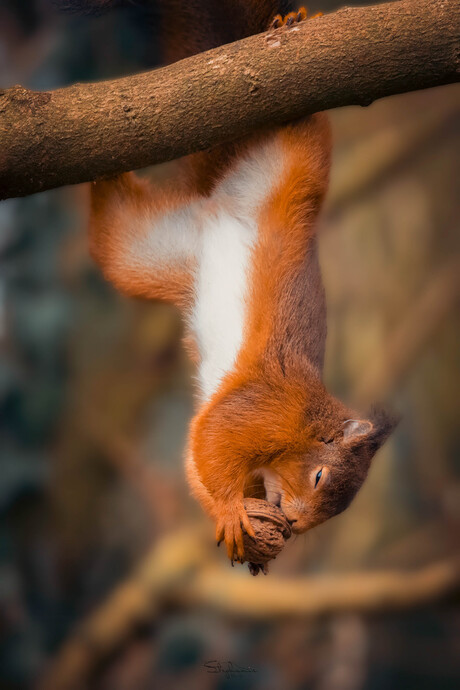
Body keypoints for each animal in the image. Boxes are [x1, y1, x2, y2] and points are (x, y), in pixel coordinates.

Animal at [65, 0, 398, 562]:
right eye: (319, 476)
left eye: (336, 510)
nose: (295, 522)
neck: (306, 422)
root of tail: (219, 203)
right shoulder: (265, 409)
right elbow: (215, 440)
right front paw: (228, 509)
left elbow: (197, 456)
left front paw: (237, 522)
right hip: (296, 165)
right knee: (302, 128)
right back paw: (290, 26)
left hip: (150, 250)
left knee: (113, 229)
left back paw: (106, 166)